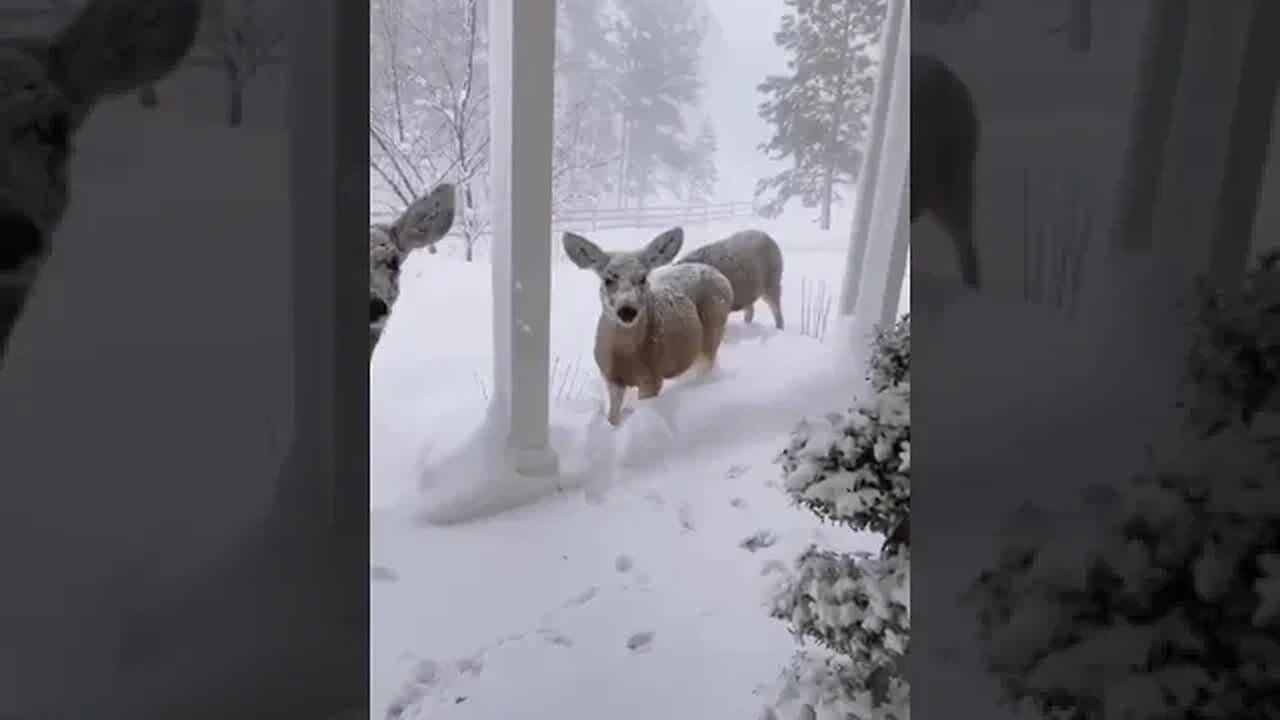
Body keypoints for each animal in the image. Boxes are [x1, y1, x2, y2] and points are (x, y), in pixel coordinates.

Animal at [562, 227, 734, 426]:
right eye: (608, 279)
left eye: (643, 278)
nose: (627, 310)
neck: (625, 357)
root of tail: (718, 274)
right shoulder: (610, 376)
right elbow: (612, 417)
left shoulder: (652, 378)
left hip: (713, 331)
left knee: (707, 364)